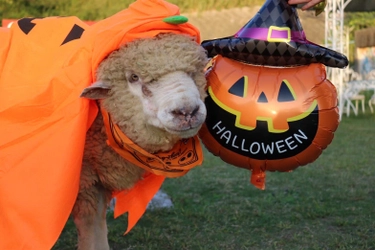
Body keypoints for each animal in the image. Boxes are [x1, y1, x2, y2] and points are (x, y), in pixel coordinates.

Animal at [73, 32, 209, 249]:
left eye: (193, 71)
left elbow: (95, 227)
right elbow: (88, 225)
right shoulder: (84, 180)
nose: (187, 111)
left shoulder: (94, 181)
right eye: (134, 77)